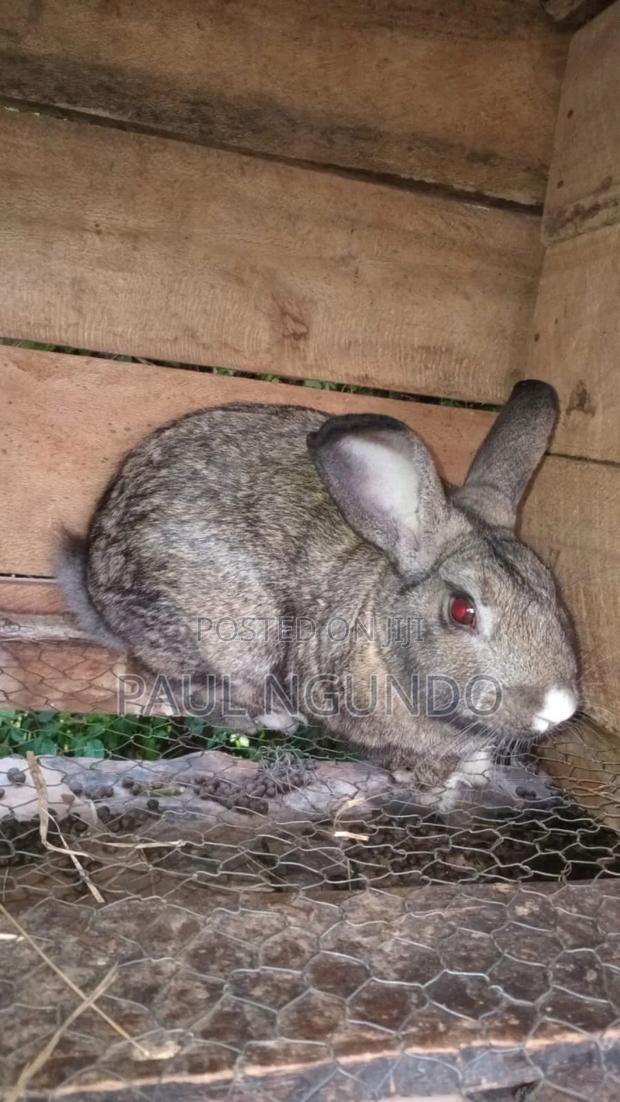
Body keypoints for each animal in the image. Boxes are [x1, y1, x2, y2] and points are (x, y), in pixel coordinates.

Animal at [57, 380, 579, 812]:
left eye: (551, 591)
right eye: (462, 610)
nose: (559, 708)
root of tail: (93, 578)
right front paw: (433, 778)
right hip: (230, 633)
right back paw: (273, 717)